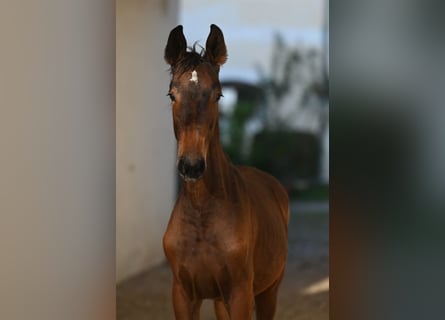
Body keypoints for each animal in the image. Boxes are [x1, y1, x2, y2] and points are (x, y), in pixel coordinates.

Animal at [161, 23, 290, 318]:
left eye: (218, 95)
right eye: (172, 95)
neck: (201, 215)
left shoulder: (240, 294)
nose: (192, 166)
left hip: (269, 290)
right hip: (220, 300)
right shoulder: (183, 295)